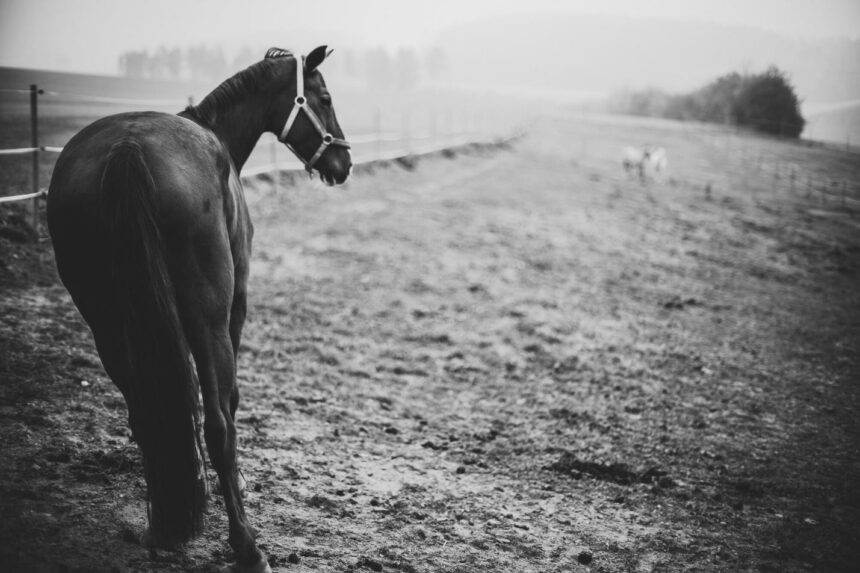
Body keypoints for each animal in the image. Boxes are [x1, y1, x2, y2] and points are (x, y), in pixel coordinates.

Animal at [46, 46, 350, 573]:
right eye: (325, 97)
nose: (344, 161)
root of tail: (128, 151)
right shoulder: (235, 308)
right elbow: (229, 402)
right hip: (207, 320)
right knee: (217, 427)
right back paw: (247, 546)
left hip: (108, 326)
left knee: (146, 415)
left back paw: (163, 524)